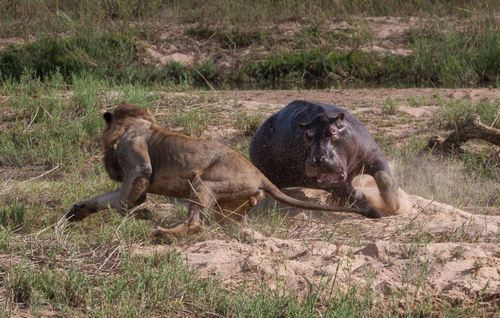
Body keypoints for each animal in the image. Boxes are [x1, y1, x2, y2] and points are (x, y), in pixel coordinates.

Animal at [66, 102, 378, 238]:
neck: (133, 124)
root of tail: (260, 175)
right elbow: (104, 199)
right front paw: (77, 211)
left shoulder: (138, 165)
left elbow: (121, 199)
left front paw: (138, 214)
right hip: (232, 204)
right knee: (227, 222)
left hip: (204, 183)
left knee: (195, 221)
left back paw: (166, 233)